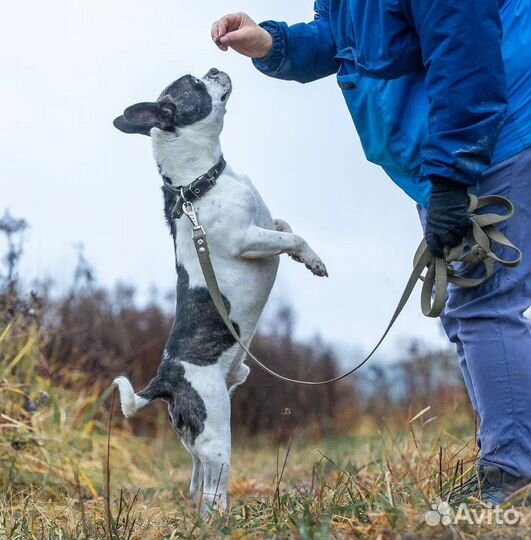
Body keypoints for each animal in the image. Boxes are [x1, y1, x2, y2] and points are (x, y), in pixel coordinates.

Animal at [113, 69, 328, 512]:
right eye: (193, 83)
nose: (214, 69)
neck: (199, 185)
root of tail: (165, 380)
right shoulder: (248, 239)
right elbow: (291, 236)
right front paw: (309, 257)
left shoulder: (266, 224)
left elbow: (286, 226)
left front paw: (311, 259)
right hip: (215, 434)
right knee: (213, 494)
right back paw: (228, 518)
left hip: (198, 444)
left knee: (197, 484)